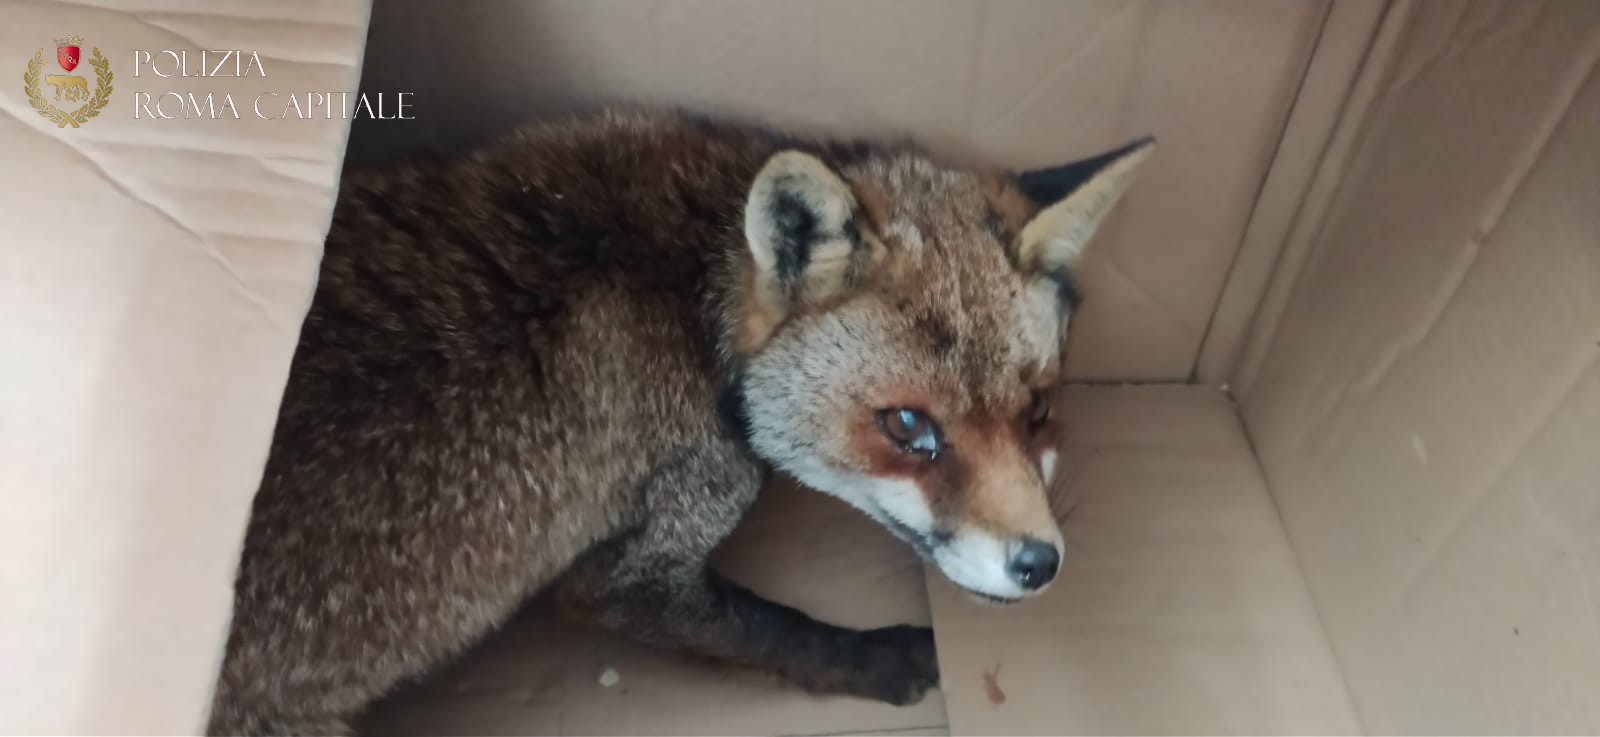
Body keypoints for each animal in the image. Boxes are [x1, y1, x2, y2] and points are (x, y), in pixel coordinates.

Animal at [205, 110, 1153, 736]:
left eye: (1038, 411)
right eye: (908, 425)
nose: (1039, 564)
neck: (693, 299)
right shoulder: (628, 571)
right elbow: (772, 625)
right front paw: (883, 658)